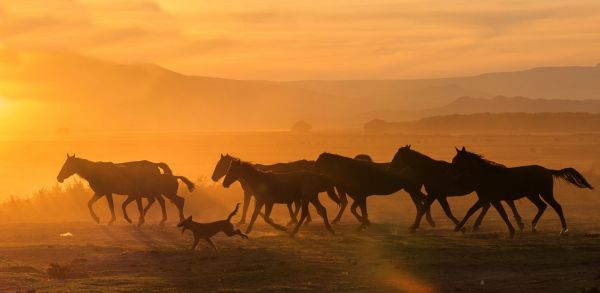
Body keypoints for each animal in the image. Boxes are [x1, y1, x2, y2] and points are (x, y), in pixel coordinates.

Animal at [450, 147, 592, 236]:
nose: (451, 172)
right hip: (532, 195)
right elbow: (473, 210)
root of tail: (547, 170)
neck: (487, 175)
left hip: (545, 193)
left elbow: (502, 214)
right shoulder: (487, 199)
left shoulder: (491, 199)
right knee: (542, 206)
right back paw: (533, 226)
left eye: (457, 160)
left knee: (557, 207)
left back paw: (563, 230)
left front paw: (512, 230)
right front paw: (459, 227)